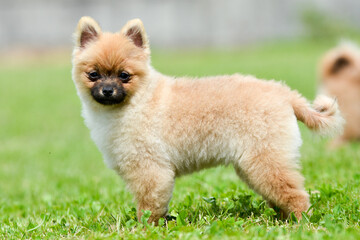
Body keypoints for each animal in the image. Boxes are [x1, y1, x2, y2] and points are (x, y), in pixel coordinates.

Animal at [71, 16, 344, 223]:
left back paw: (300, 222)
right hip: (254, 166)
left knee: (296, 195)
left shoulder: (150, 170)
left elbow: (149, 206)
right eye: (93, 74)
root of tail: (285, 94)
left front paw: (145, 228)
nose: (107, 90)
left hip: (265, 161)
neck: (135, 102)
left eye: (124, 76)